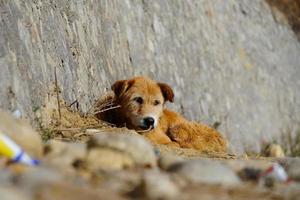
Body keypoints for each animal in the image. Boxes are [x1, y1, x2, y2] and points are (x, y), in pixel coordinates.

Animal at [96, 76, 227, 153]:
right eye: (137, 99)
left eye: (156, 102)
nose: (150, 120)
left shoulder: (167, 140)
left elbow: (172, 144)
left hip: (178, 129)